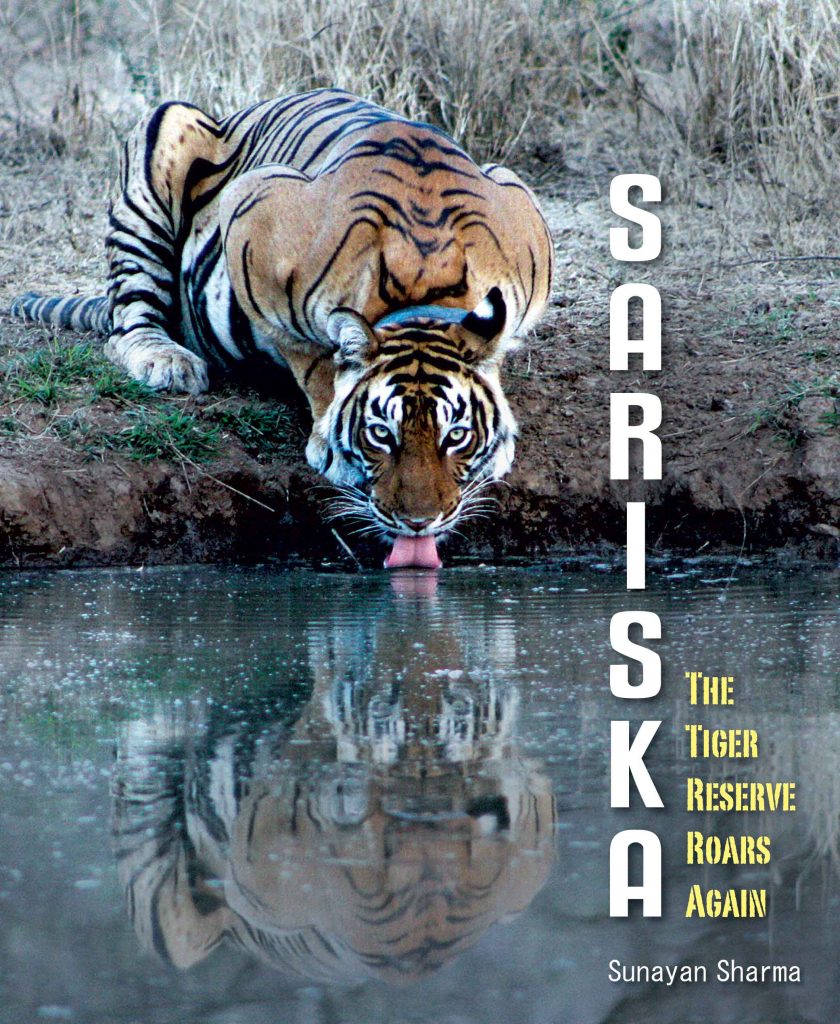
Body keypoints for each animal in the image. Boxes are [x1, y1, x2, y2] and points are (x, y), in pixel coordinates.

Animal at [9, 88, 554, 568]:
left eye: (456, 435)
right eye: (381, 434)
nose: (418, 523)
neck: (423, 288)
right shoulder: (252, 216)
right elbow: (310, 357)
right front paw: (328, 439)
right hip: (162, 131)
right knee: (128, 321)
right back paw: (166, 360)